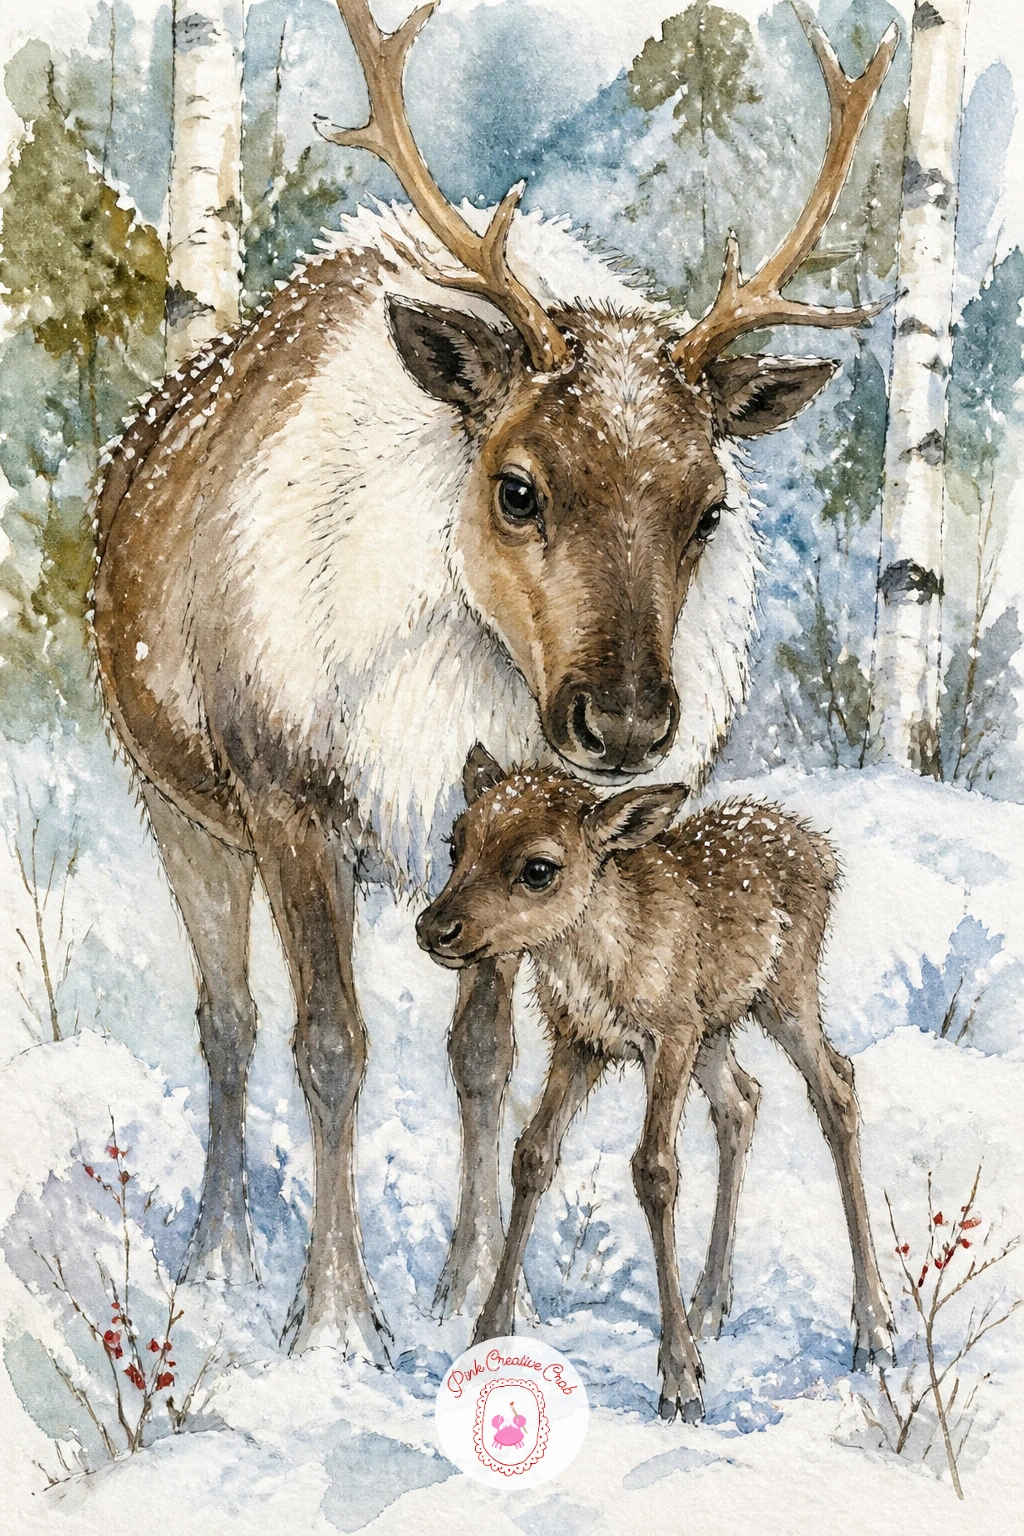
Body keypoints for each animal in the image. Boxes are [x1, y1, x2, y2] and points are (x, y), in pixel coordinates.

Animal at [416, 747, 894, 1421]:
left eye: (538, 868)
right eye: (456, 843)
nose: (435, 928)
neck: (603, 961)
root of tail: (820, 848)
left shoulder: (669, 1035)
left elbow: (655, 1170)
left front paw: (680, 1381)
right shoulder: (581, 1041)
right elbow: (533, 1153)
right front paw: (487, 1336)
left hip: (785, 992)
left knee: (837, 1090)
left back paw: (874, 1329)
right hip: (718, 1026)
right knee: (742, 1100)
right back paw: (710, 1305)